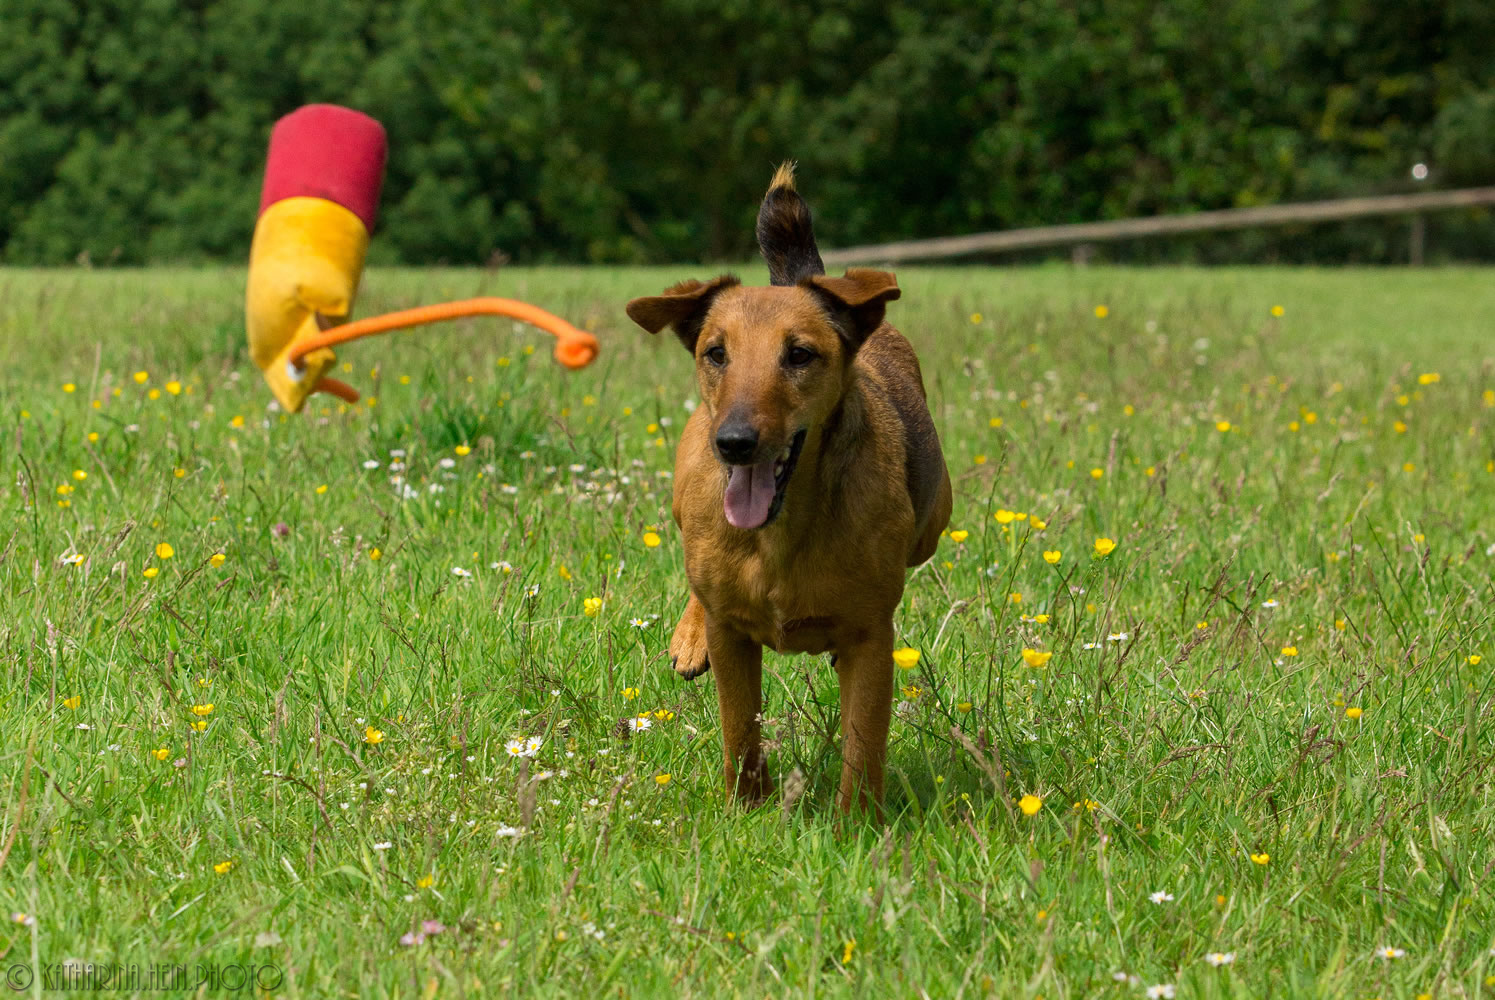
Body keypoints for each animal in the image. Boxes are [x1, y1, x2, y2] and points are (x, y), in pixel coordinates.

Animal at [624, 167, 950, 813]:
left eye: (799, 354)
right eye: (715, 353)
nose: (734, 442)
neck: (779, 532)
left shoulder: (871, 638)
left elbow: (862, 747)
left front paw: (856, 825)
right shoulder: (732, 638)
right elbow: (739, 728)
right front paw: (747, 809)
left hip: (933, 522)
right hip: (684, 493)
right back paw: (689, 635)